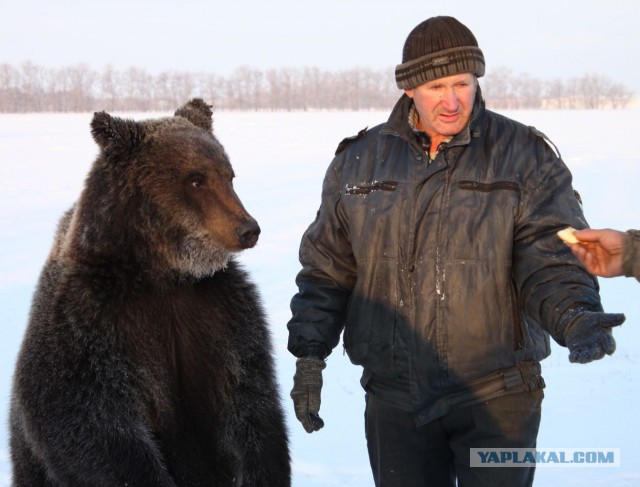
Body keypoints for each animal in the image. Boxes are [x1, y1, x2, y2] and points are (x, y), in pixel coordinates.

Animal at [9, 99, 291, 486]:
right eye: (196, 179)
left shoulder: (223, 313)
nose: (248, 228)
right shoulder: (88, 320)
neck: (162, 274)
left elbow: (250, 398)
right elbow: (83, 416)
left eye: (229, 175)